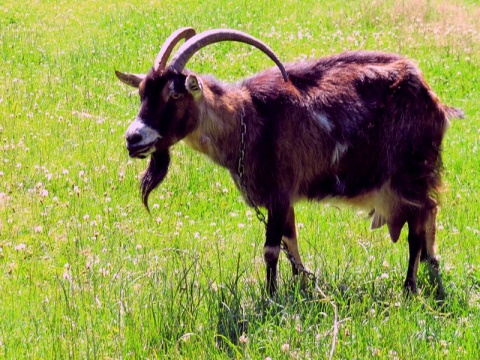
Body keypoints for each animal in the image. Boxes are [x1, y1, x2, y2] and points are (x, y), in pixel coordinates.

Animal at [114, 26, 464, 294]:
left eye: (174, 95)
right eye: (142, 93)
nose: (133, 139)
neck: (248, 118)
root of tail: (434, 100)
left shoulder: (280, 192)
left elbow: (271, 250)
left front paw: (270, 298)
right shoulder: (283, 200)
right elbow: (290, 243)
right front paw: (301, 287)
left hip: (411, 174)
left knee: (417, 227)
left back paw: (409, 288)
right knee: (430, 213)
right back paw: (432, 265)